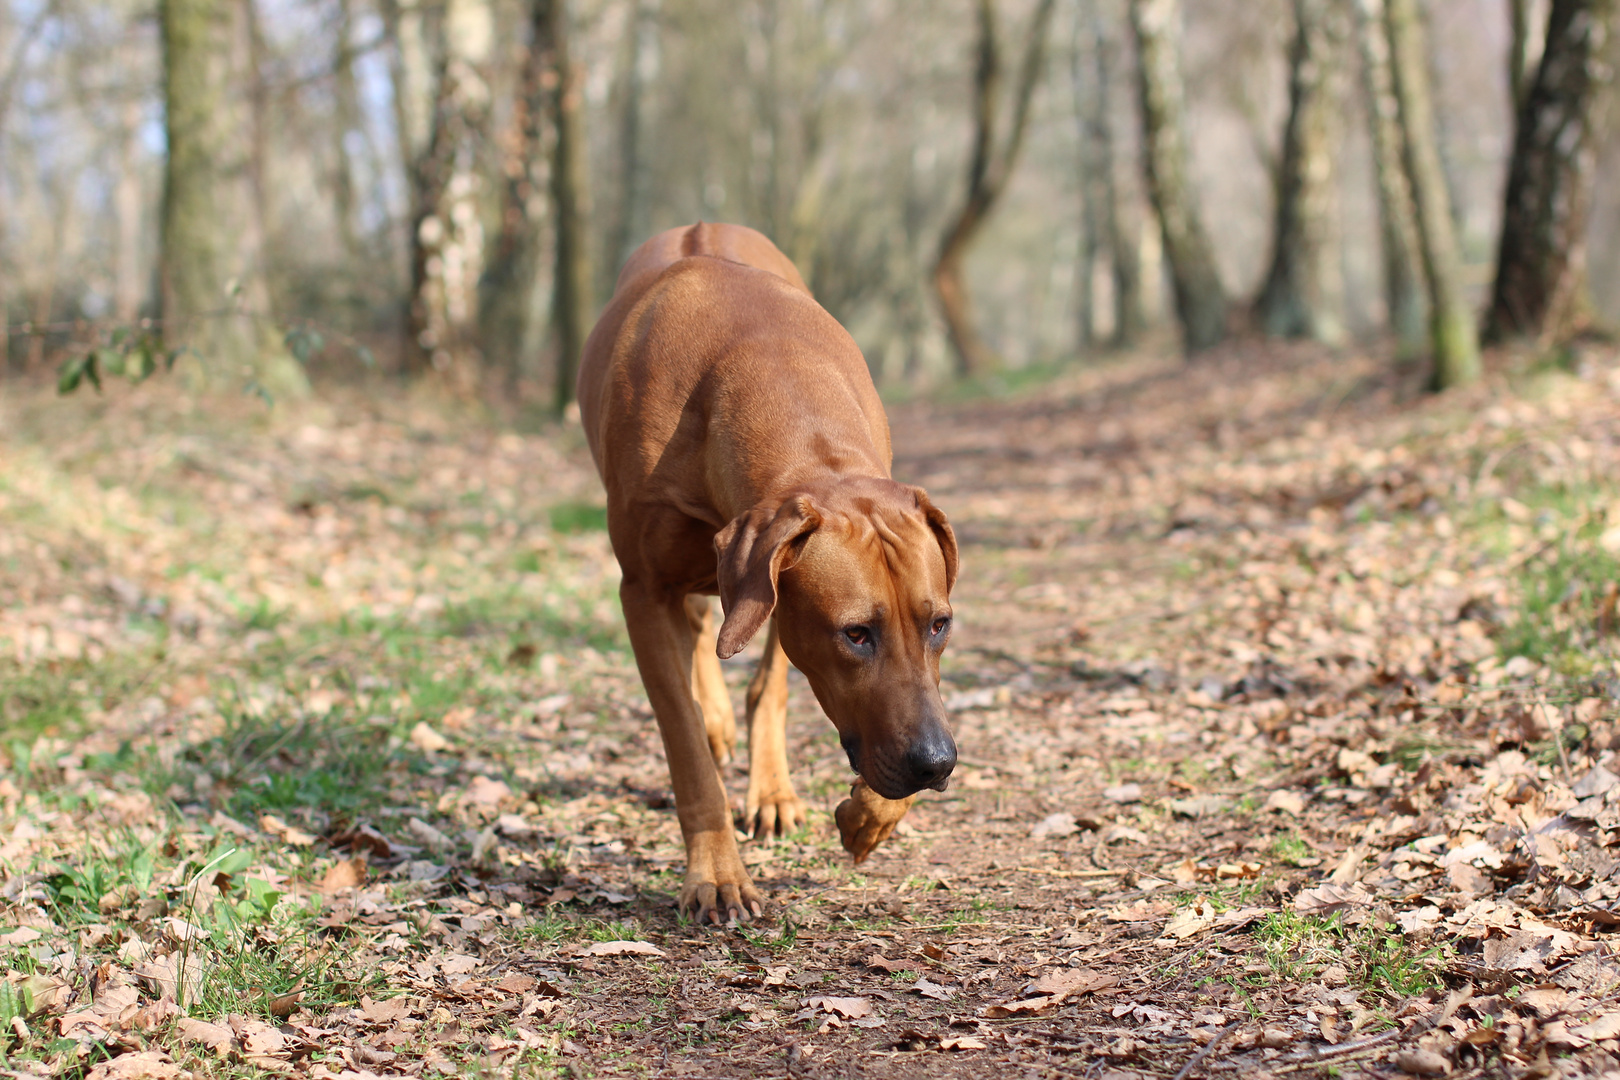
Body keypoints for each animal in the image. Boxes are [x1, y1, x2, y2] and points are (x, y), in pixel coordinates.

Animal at [579, 223, 952, 926]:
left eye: (939, 626)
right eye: (856, 633)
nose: (937, 763)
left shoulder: (776, 583)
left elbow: (783, 688)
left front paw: (868, 815)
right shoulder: (643, 590)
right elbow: (685, 746)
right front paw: (717, 874)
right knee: (701, 636)